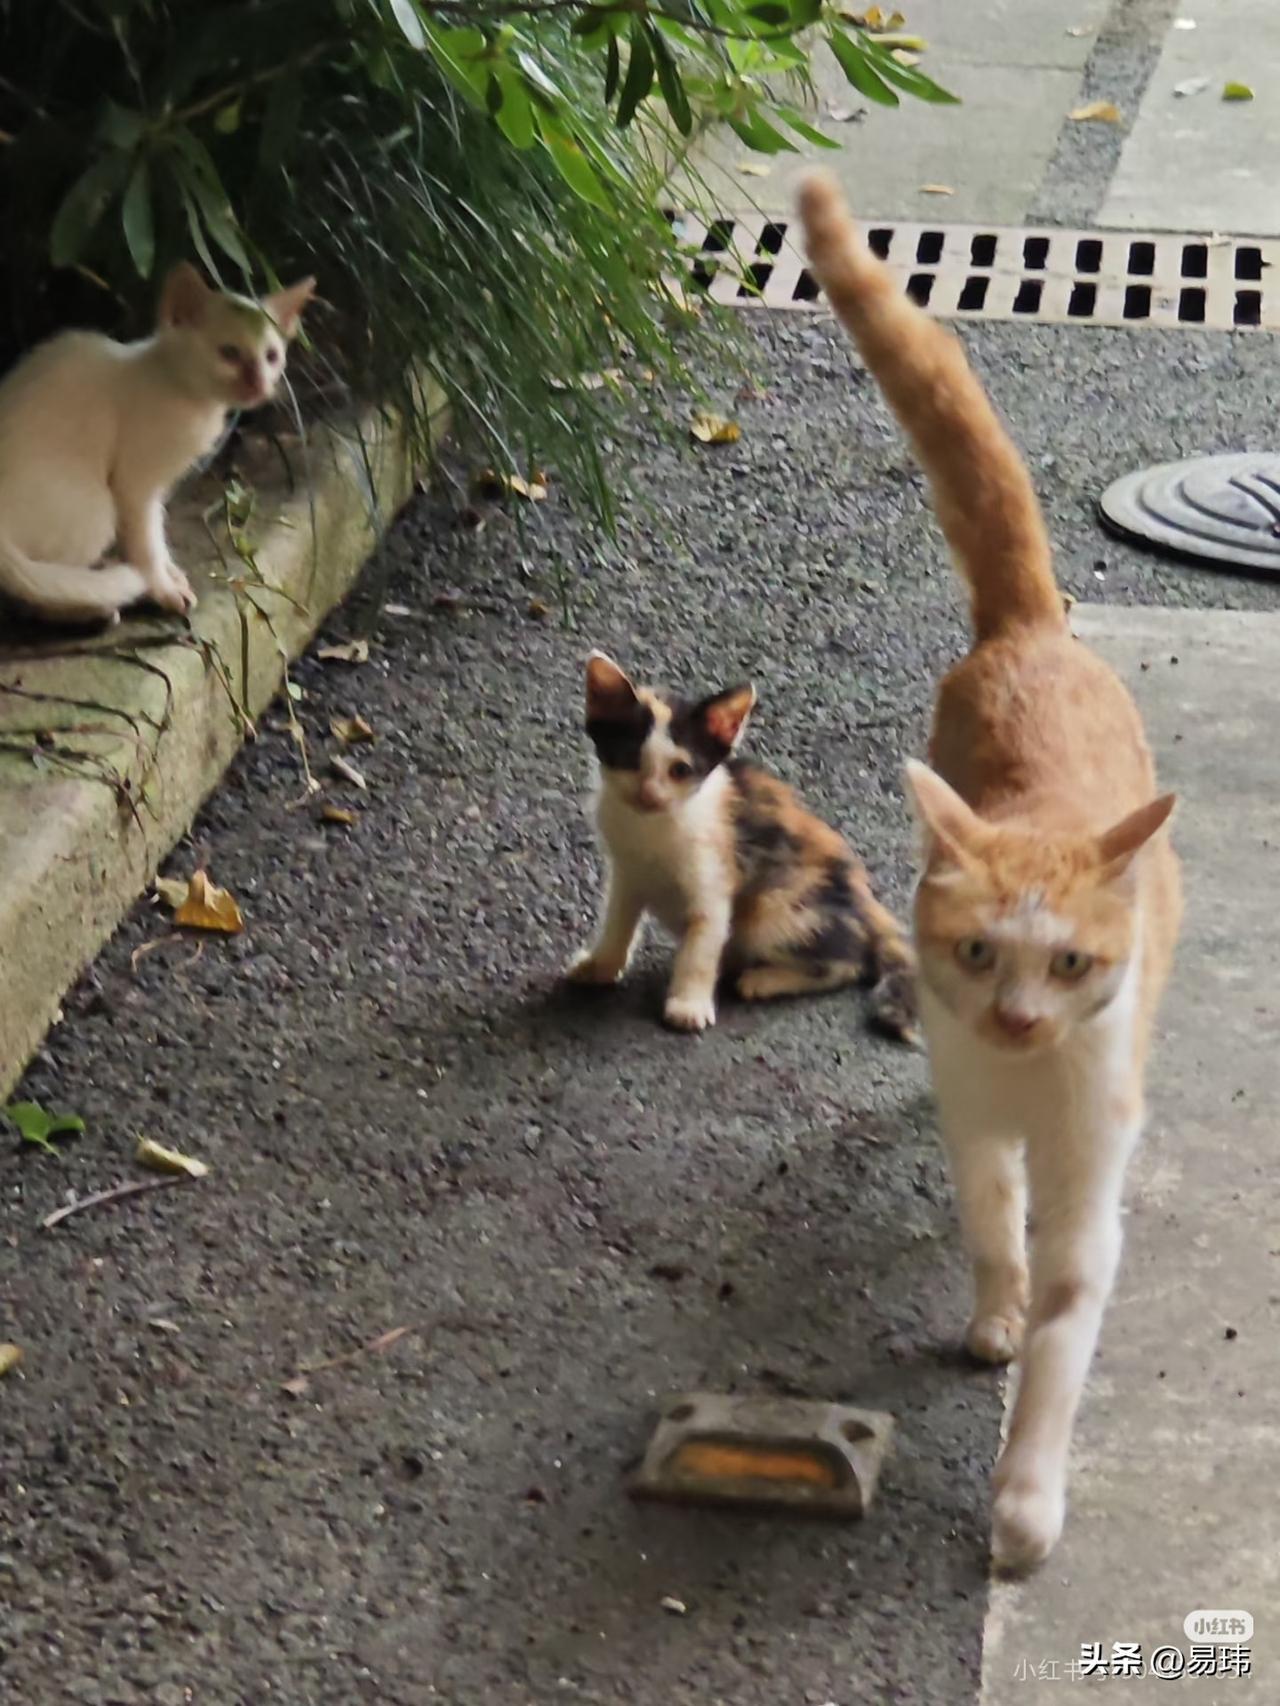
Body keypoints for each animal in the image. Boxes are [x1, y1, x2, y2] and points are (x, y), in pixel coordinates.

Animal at [0, 262, 315, 627]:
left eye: (271, 356)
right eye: (229, 353)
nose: (259, 384)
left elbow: (157, 532)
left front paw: (169, 572)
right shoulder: (133, 485)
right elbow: (145, 541)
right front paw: (161, 588)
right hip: (96, 508)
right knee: (29, 593)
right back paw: (93, 604)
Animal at [568, 650, 916, 1041]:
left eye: (680, 770)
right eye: (629, 758)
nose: (649, 795)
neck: (652, 828)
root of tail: (867, 903)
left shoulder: (716, 875)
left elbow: (701, 946)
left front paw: (688, 1005)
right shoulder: (627, 872)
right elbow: (618, 920)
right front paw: (601, 964)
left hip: (778, 906)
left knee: (846, 963)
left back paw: (763, 980)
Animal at [798, 171, 1182, 1573]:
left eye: (1067, 961)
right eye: (977, 951)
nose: (1015, 1018)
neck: (1025, 1081)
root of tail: (1029, 630)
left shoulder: (1087, 1160)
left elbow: (1067, 1324)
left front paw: (1023, 1496)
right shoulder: (976, 1112)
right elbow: (985, 1218)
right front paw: (993, 1313)